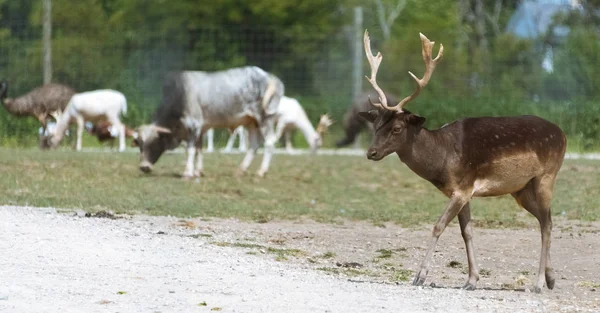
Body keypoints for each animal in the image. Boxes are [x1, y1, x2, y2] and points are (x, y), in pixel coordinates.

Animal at [360, 30, 568, 292]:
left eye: (397, 128)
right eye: (376, 124)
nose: (371, 152)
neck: (442, 159)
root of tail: (563, 134)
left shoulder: (462, 188)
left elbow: (438, 225)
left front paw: (420, 276)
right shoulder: (464, 191)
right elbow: (466, 232)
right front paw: (471, 280)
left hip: (546, 177)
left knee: (547, 223)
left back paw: (538, 283)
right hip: (521, 189)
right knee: (544, 220)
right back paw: (551, 278)